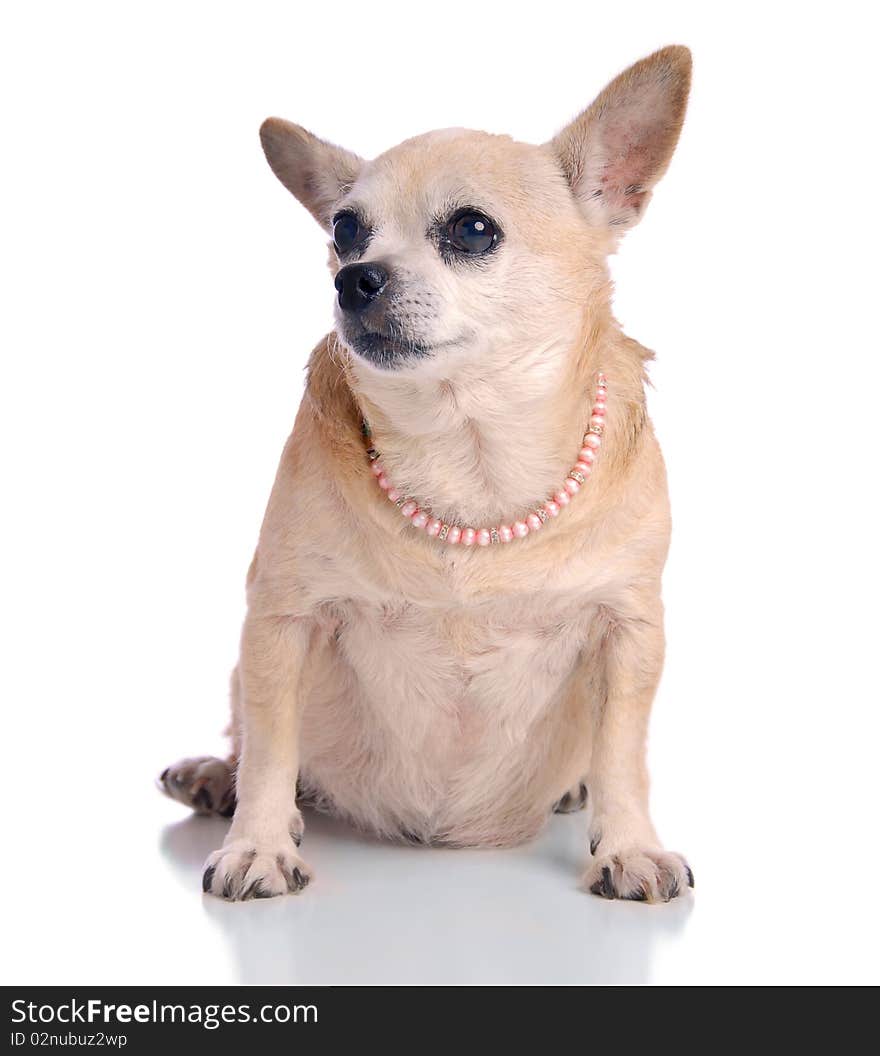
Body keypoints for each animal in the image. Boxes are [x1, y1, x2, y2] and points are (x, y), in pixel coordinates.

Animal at [159, 47, 693, 899]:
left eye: (472, 230)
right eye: (345, 230)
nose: (353, 277)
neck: (469, 460)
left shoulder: (628, 631)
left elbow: (623, 753)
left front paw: (630, 845)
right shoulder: (280, 623)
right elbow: (273, 747)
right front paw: (260, 845)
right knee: (249, 740)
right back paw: (218, 778)